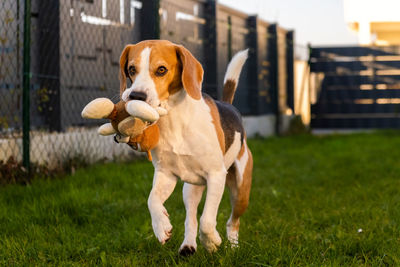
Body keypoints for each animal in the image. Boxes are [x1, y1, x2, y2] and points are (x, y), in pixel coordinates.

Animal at [118, 40, 253, 255]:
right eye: (131, 69)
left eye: (161, 70)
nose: (136, 96)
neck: (174, 118)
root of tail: (228, 105)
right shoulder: (165, 173)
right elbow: (152, 200)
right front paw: (161, 226)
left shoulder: (216, 175)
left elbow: (207, 221)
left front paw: (212, 241)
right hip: (190, 189)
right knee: (191, 217)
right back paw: (188, 245)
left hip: (241, 191)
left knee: (232, 222)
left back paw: (232, 246)